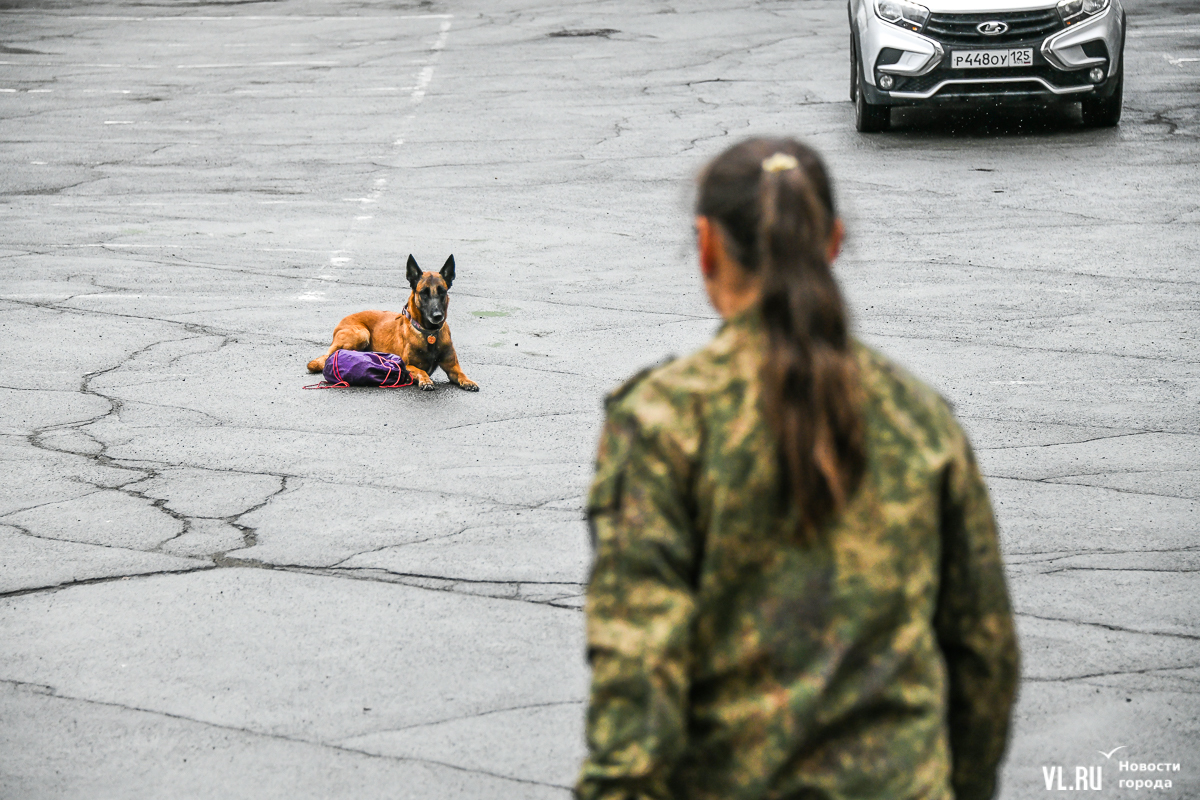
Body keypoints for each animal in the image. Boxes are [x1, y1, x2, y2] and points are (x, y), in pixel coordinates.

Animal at [304, 255, 477, 393]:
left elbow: (461, 373)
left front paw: (468, 381)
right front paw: (426, 380)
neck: (429, 333)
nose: (437, 316)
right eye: (424, 293)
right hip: (362, 334)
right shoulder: (407, 366)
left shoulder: (452, 367)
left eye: (442, 292)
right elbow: (421, 371)